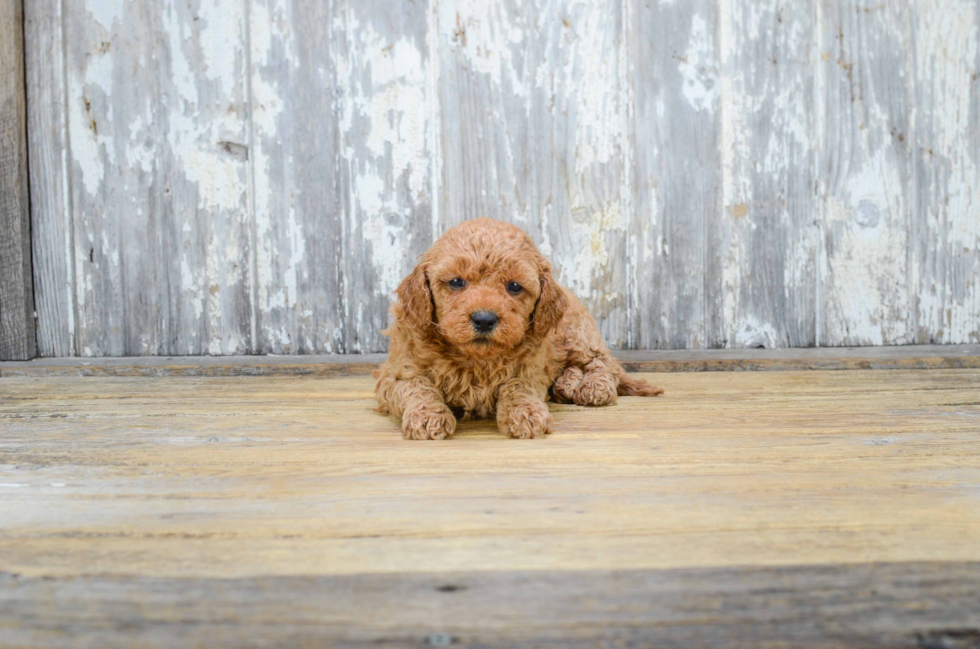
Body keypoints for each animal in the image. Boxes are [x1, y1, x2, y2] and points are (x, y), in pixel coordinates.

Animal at [376, 219, 668, 440]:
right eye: (457, 282)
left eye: (514, 286)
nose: (484, 319)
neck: (476, 359)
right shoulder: (398, 371)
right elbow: (418, 387)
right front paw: (428, 416)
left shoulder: (531, 368)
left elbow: (518, 386)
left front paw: (525, 413)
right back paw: (566, 384)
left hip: (576, 333)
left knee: (604, 363)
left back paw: (593, 386)